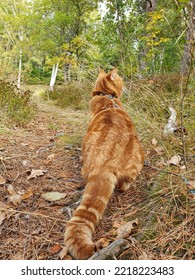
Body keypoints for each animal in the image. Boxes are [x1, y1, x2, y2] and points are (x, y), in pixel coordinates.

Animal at [64, 68, 145, 260]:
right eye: (121, 79)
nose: (126, 82)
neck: (106, 97)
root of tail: (104, 164)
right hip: (139, 155)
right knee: (123, 185)